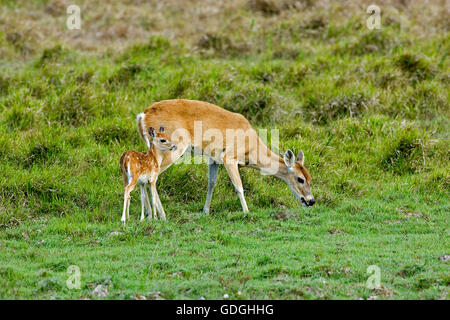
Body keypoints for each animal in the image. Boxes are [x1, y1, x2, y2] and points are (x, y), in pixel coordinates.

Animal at [135, 99, 314, 214]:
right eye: (300, 179)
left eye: (310, 178)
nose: (311, 201)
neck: (251, 147)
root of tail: (143, 116)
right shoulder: (229, 157)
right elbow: (238, 186)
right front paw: (247, 212)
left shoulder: (213, 159)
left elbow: (211, 184)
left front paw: (205, 211)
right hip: (172, 147)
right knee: (153, 177)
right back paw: (160, 215)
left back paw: (148, 215)